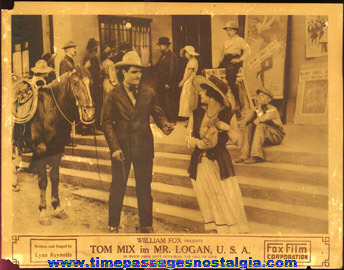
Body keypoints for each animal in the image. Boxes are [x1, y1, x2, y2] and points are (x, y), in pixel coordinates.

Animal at [28, 65, 94, 226]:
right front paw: (43, 212)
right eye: (75, 82)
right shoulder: (41, 150)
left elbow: (55, 178)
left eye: (91, 82)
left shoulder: (57, 150)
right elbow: (43, 181)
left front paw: (58, 208)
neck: (50, 110)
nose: (89, 114)